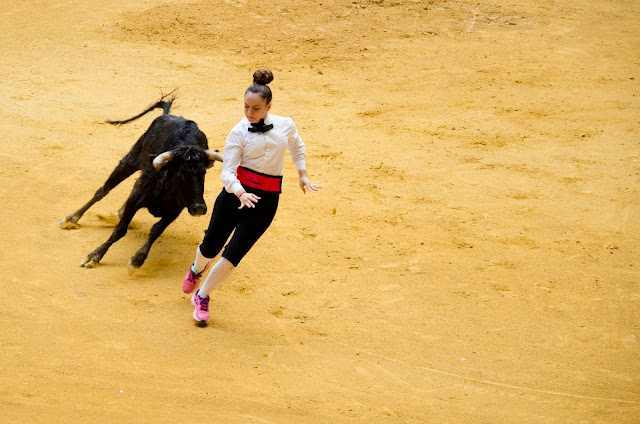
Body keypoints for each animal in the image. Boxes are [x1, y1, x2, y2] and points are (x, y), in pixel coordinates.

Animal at [60, 93, 224, 272]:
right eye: (181, 174)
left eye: (203, 172)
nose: (199, 208)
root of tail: (167, 116)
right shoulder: (135, 198)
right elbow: (120, 229)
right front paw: (94, 256)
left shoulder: (176, 210)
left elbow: (155, 231)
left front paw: (138, 260)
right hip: (131, 159)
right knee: (103, 190)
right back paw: (72, 219)